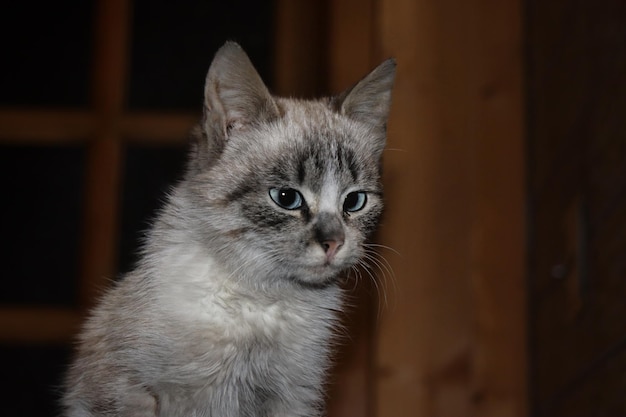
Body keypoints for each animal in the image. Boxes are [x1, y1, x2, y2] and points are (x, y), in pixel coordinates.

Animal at [64, 41, 394, 416]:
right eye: (286, 197)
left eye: (354, 201)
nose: (334, 243)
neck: (260, 299)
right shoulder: (126, 392)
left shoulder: (292, 400)